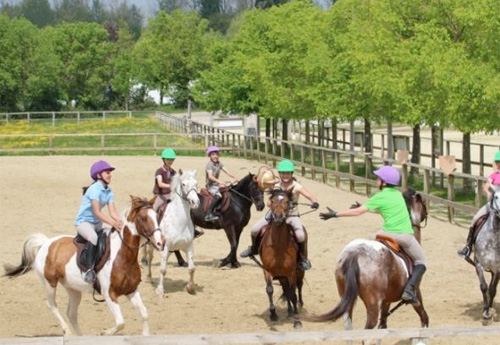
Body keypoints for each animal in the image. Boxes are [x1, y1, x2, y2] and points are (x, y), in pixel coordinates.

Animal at [1, 196, 164, 336]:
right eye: (143, 218)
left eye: (157, 217)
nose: (160, 243)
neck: (124, 257)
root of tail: (46, 243)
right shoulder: (109, 294)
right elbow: (120, 322)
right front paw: (104, 333)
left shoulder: (131, 291)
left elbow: (144, 314)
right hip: (50, 283)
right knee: (52, 305)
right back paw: (66, 331)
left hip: (73, 288)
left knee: (71, 313)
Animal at [252, 188, 302, 328]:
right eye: (273, 201)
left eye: (286, 201)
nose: (279, 217)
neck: (279, 246)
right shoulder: (267, 271)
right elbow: (270, 290)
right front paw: (273, 314)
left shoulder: (291, 273)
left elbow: (293, 294)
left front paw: (297, 321)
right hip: (282, 277)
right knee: (286, 289)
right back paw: (289, 312)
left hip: (298, 272)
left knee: (299, 287)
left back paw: (299, 306)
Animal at [302, 188, 428, 330]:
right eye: (424, 203)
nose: (426, 214)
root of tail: (355, 254)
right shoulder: (416, 292)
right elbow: (424, 318)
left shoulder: (387, 300)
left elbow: (383, 325)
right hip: (373, 301)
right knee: (369, 327)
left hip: (346, 296)